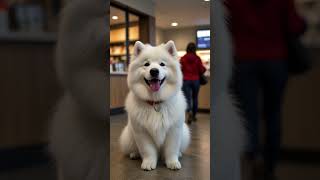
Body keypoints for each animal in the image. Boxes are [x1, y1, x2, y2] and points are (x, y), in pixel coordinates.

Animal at [120, 40, 190, 170]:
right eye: (146, 64)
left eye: (162, 64)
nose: (154, 71)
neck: (155, 102)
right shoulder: (142, 132)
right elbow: (148, 150)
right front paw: (148, 163)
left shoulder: (174, 131)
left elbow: (171, 149)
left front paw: (173, 162)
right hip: (128, 136)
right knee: (134, 148)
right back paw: (134, 154)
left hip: (185, 133)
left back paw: (179, 154)